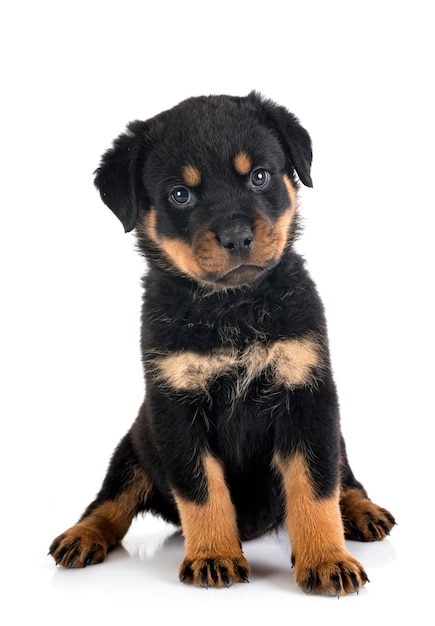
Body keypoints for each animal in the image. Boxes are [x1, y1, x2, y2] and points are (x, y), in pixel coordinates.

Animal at [49, 91, 396, 596]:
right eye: (180, 194)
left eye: (259, 176)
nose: (237, 237)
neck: (233, 307)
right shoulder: (175, 407)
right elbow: (201, 490)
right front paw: (214, 554)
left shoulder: (306, 394)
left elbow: (314, 487)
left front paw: (326, 559)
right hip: (135, 443)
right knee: (110, 500)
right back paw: (81, 536)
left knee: (342, 475)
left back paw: (361, 510)